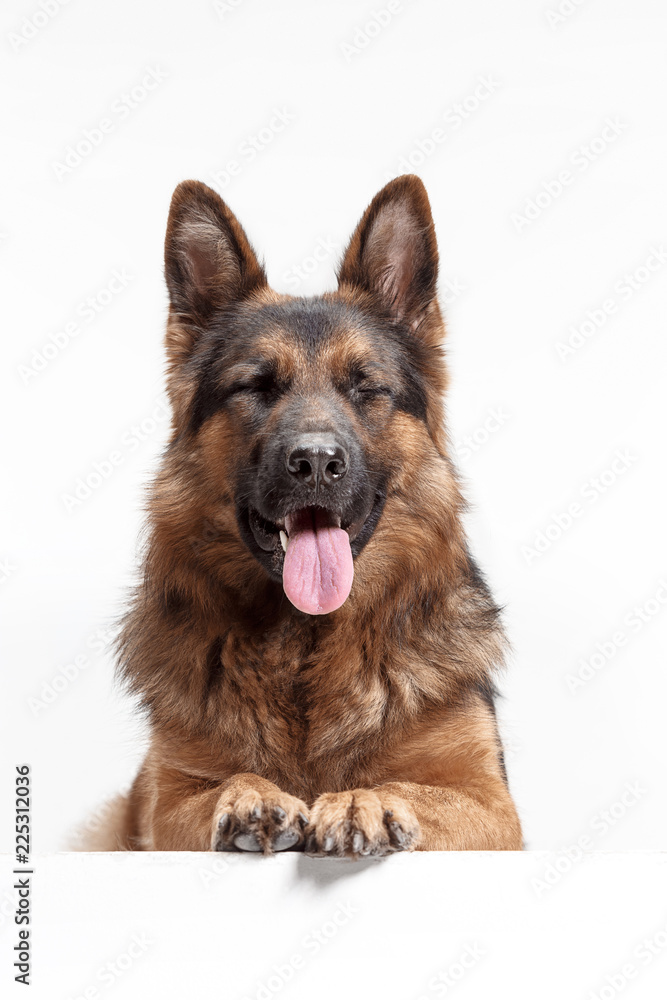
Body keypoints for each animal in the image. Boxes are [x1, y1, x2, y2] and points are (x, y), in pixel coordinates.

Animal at [111, 176, 528, 856]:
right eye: (256, 387)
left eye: (366, 388)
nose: (314, 462)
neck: (307, 648)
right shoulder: (163, 805)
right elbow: (216, 787)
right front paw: (250, 795)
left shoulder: (491, 807)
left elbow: (409, 787)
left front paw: (364, 798)